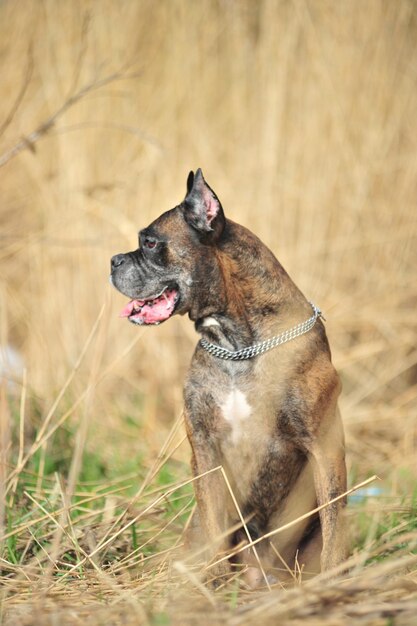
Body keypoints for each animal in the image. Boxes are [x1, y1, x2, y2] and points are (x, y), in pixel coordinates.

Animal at [110, 167, 348, 584]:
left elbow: (332, 522)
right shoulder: (205, 447)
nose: (113, 260)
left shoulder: (325, 447)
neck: (237, 345)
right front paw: (213, 578)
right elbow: (213, 514)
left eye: (150, 243)